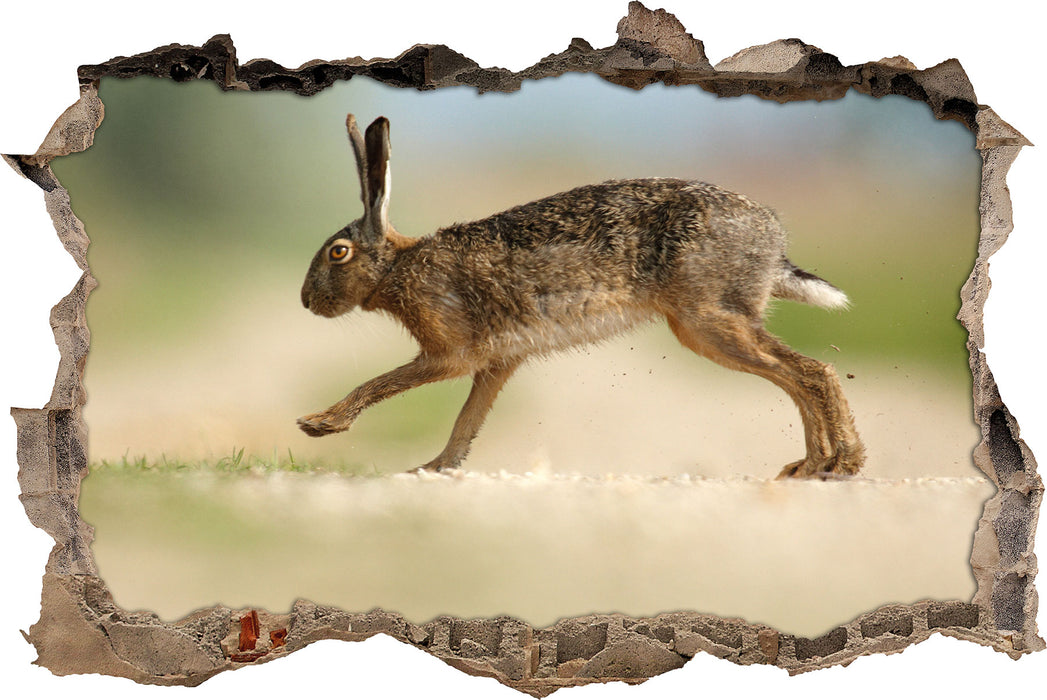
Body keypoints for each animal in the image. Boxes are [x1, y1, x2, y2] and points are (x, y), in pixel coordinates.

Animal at [298, 114, 865, 478]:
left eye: (338, 253)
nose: (305, 302)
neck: (397, 267)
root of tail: (772, 239)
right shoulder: (497, 362)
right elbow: (467, 421)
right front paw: (434, 468)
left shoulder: (451, 353)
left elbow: (383, 382)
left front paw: (319, 424)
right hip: (715, 324)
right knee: (796, 377)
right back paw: (810, 465)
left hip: (707, 320)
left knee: (812, 373)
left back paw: (840, 463)